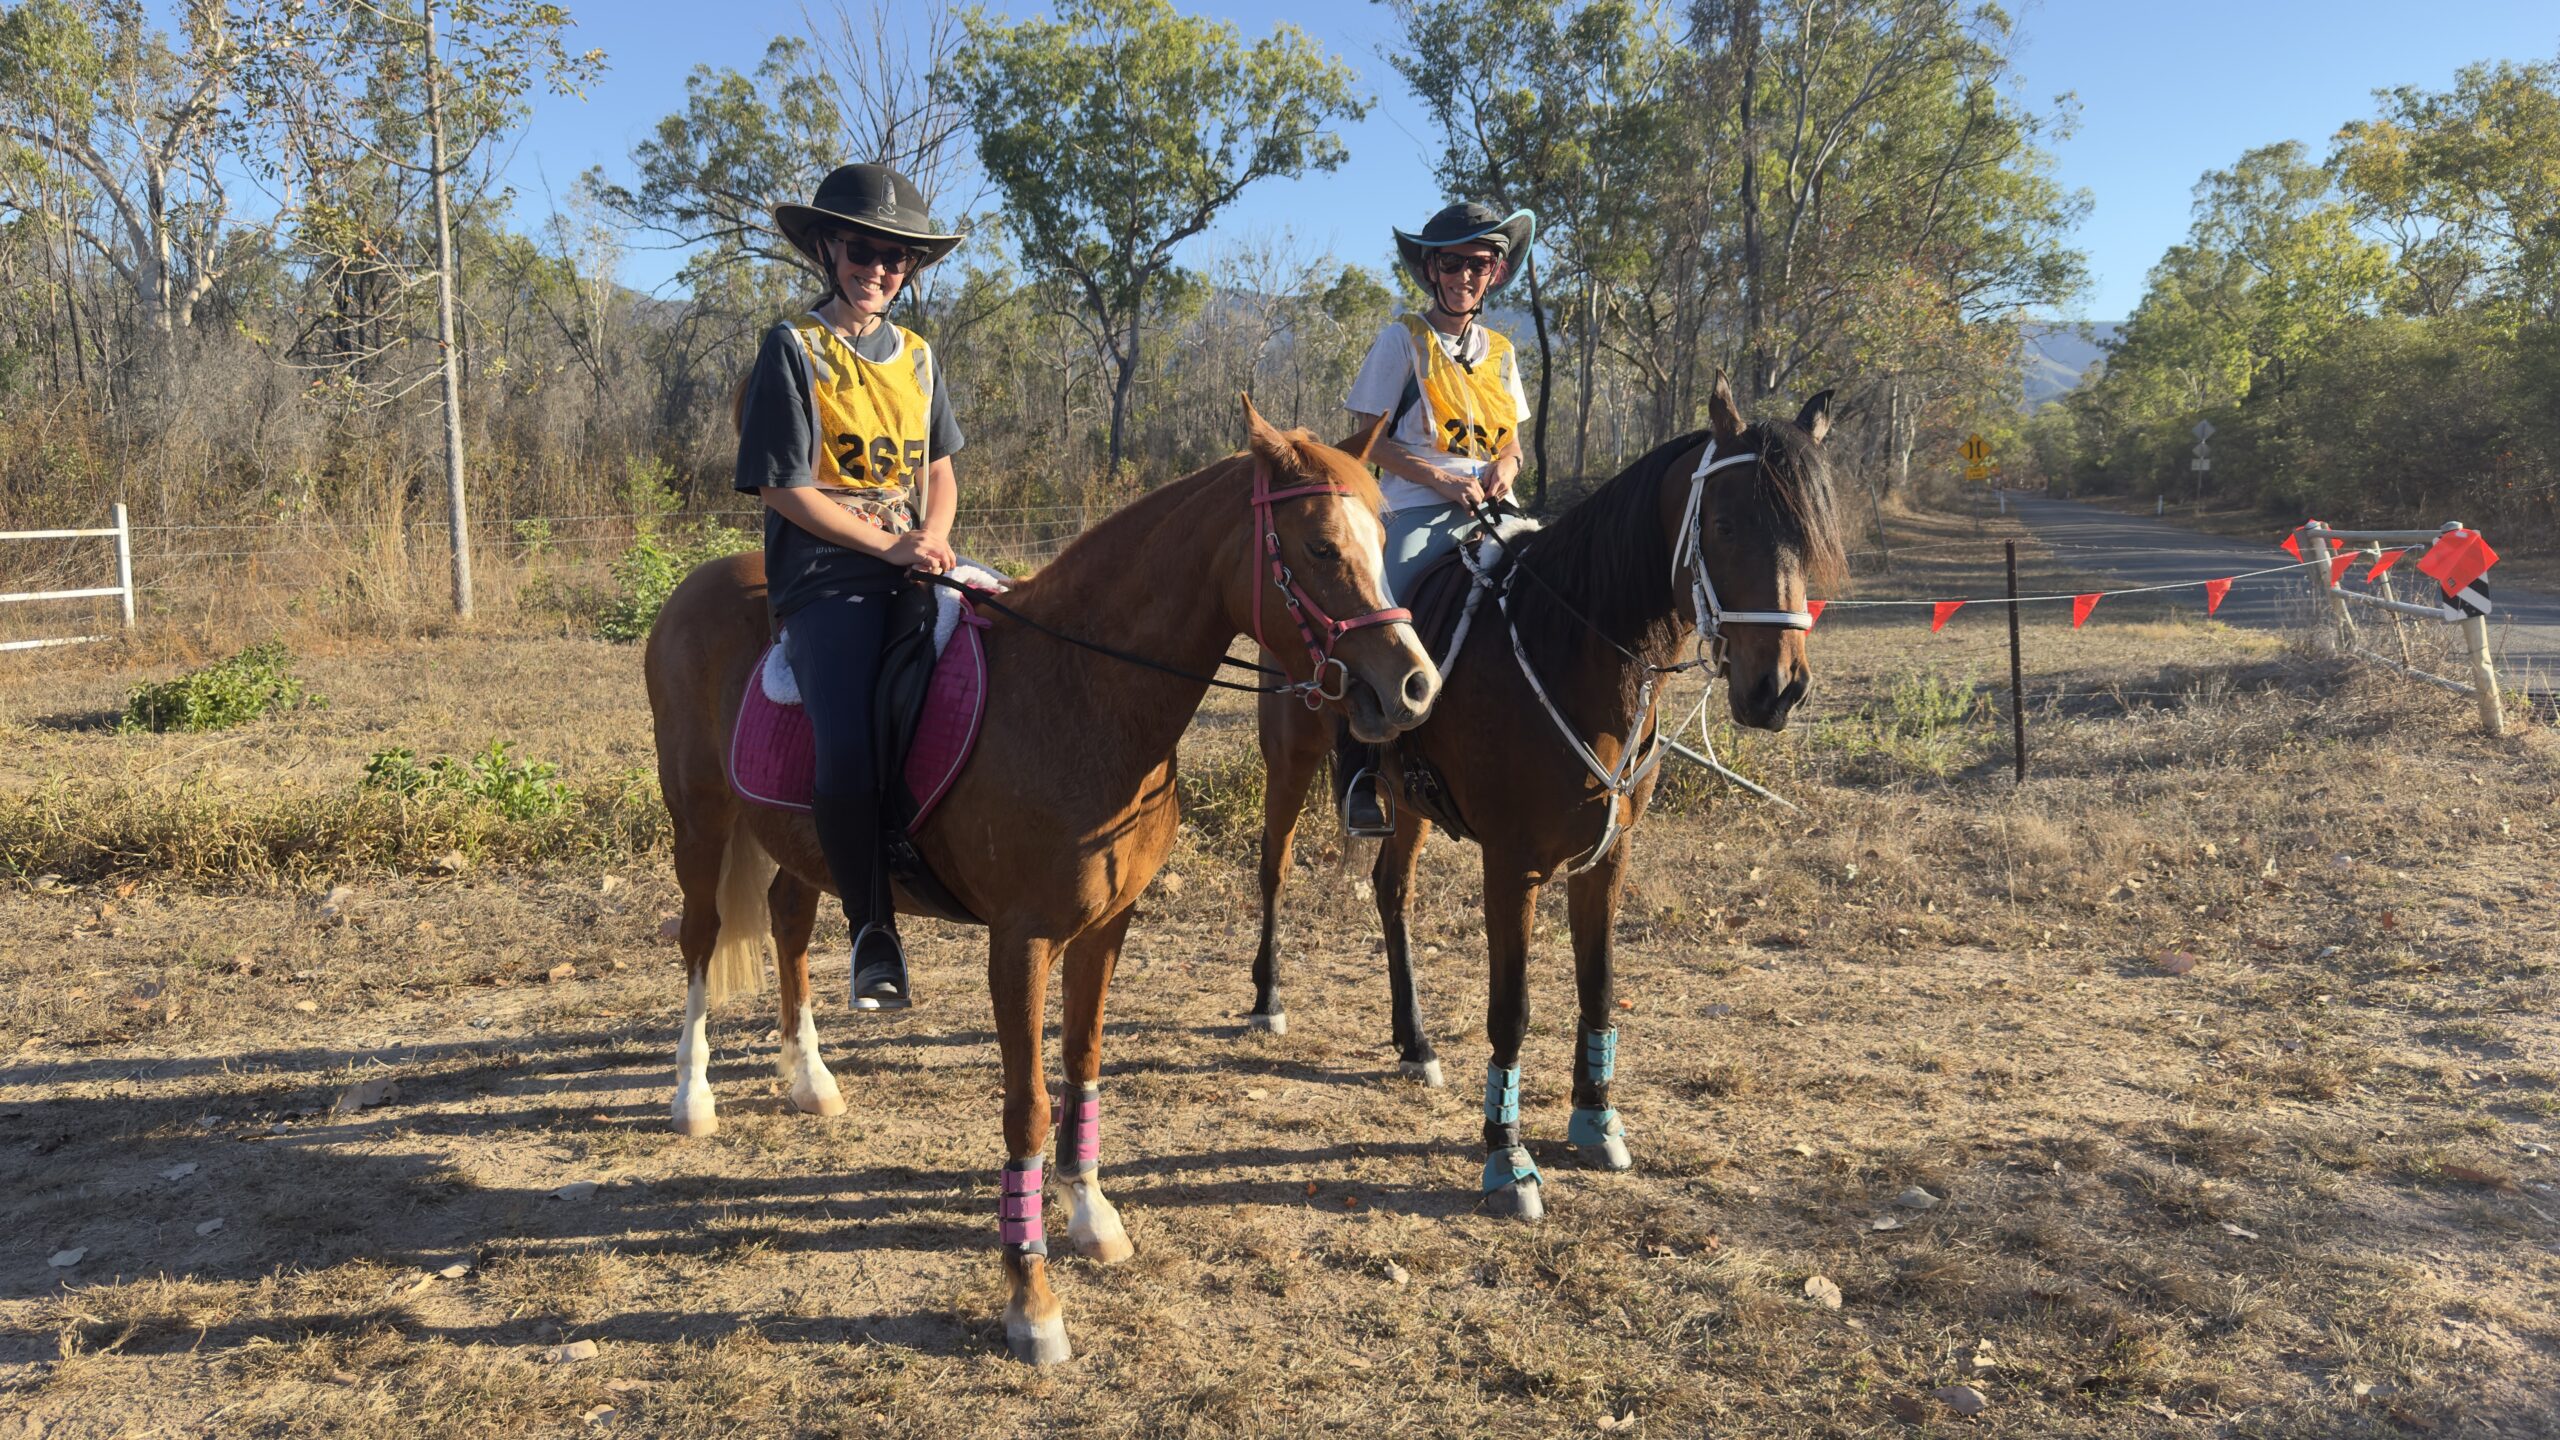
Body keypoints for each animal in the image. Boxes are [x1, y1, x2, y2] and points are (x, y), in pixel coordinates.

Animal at [642, 399, 1440, 1364]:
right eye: (1322, 546)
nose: (1415, 687)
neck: (1083, 692)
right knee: (698, 939)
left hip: (798, 841)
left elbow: (1083, 1067)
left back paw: (810, 1079)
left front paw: (1092, 1217)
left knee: (790, 928)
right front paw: (1032, 1299)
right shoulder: (1018, 943)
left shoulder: (1105, 929)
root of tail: (697, 586)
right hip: (701, 816)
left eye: (1384, 540)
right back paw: (692, 1097)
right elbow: (1024, 1106)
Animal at [1244, 375, 1846, 1220]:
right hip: (1291, 760)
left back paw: (1414, 1042)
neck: (1574, 651)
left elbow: (1599, 987)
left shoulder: (1607, 856)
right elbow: (1514, 1008)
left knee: (1392, 894)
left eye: (1810, 535)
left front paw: (1596, 1121)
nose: (1778, 689)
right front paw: (1507, 1156)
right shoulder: (1514, 864)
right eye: (1724, 524)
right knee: (1274, 867)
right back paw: (1267, 1000)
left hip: (1408, 802)